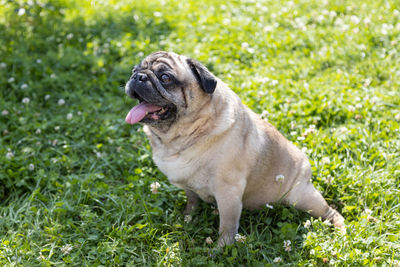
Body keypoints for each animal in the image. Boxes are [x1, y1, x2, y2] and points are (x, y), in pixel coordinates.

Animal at [124, 50, 344, 247]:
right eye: (134, 70)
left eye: (165, 77)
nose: (138, 76)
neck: (182, 136)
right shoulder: (189, 185)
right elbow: (192, 201)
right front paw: (187, 218)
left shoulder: (228, 191)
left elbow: (227, 226)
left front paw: (221, 249)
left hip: (302, 197)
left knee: (332, 213)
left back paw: (340, 230)